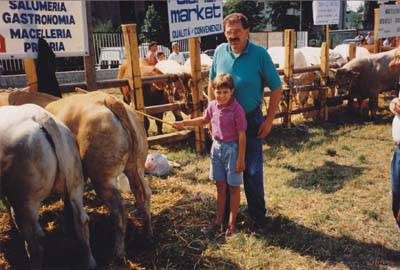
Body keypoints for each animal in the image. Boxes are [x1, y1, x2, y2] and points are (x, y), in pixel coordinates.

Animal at [0, 104, 96, 270]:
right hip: (75, 182)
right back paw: (89, 262)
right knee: (82, 221)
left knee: (35, 239)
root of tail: (42, 117)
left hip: (26, 199)